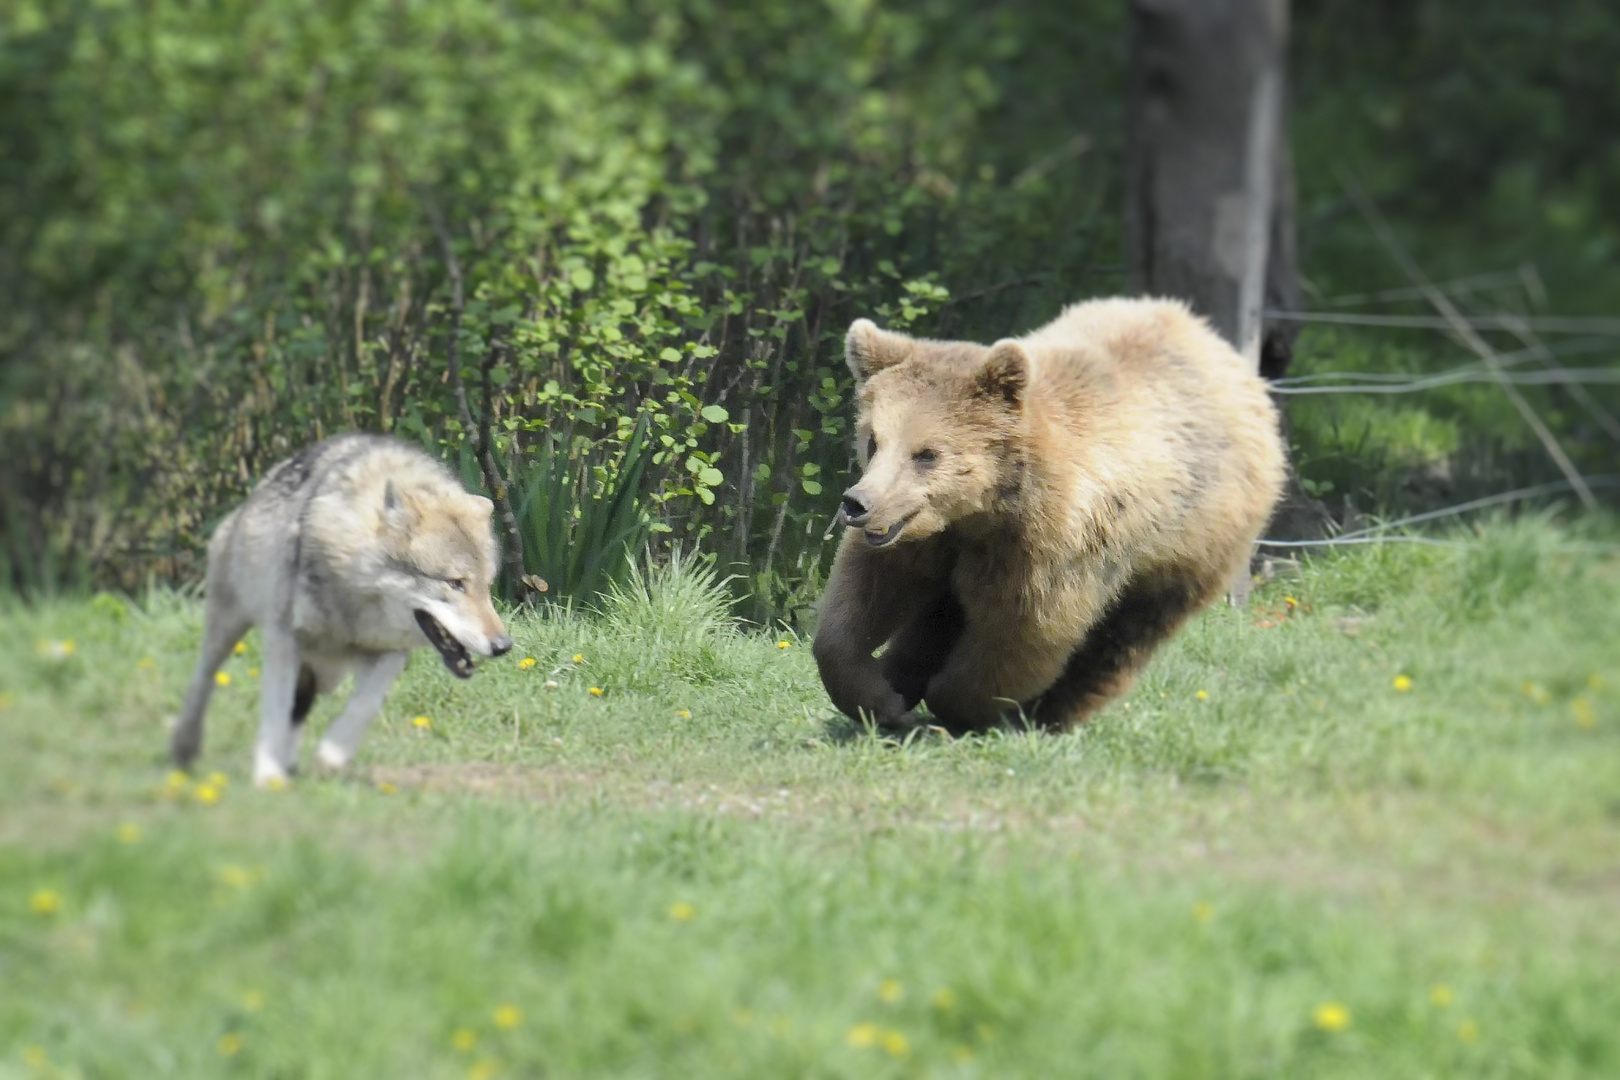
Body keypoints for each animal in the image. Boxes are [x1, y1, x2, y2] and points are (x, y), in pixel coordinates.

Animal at [170, 433, 511, 790]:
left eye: (487, 586)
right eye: (456, 583)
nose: (504, 646)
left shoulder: (390, 653)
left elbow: (365, 705)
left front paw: (329, 757)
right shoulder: (284, 639)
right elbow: (275, 709)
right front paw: (269, 777)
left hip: (324, 674)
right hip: (228, 628)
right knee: (204, 679)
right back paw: (186, 745)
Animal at [816, 296, 1283, 735]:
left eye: (927, 453)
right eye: (873, 440)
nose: (858, 503)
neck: (984, 510)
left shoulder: (1050, 546)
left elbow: (1024, 631)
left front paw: (959, 703)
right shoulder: (926, 537)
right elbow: (862, 599)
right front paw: (884, 699)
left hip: (1184, 548)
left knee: (1121, 639)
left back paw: (1051, 711)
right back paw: (903, 674)